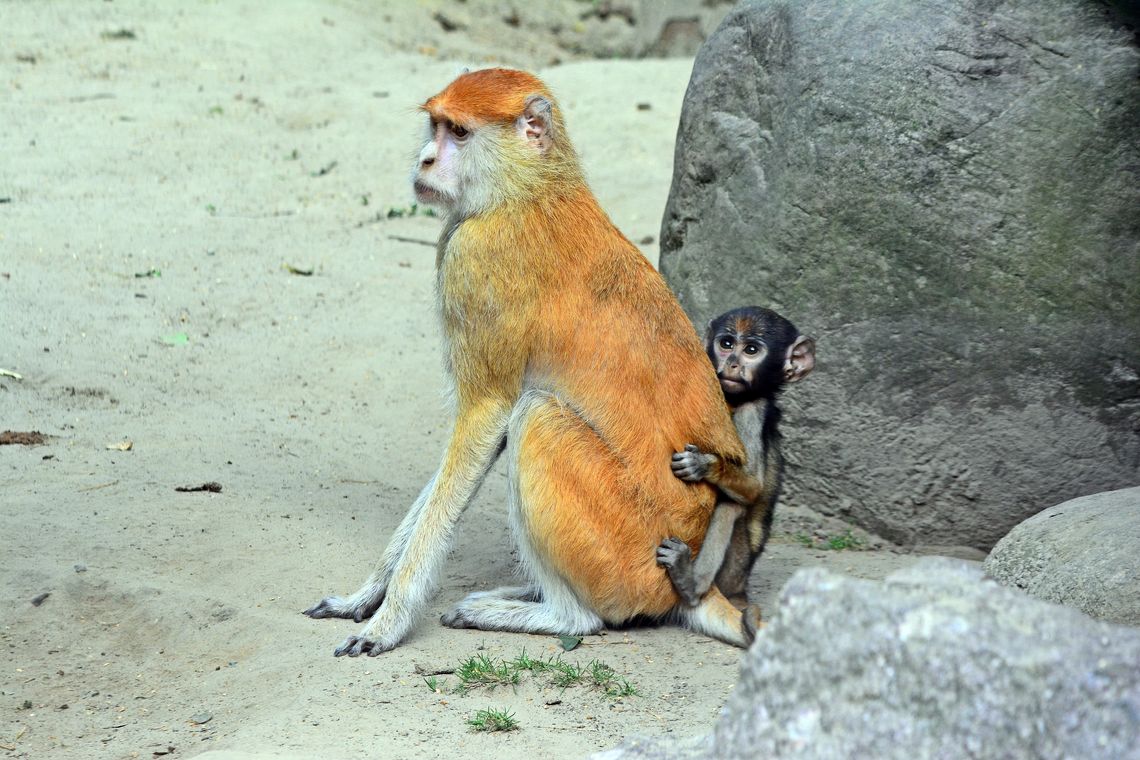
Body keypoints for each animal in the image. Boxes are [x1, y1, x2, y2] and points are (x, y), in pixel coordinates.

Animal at [303, 68, 752, 656]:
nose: (425, 160)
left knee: (537, 418)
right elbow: (480, 442)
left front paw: (388, 622)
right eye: (434, 125)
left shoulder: (475, 261)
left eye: (460, 133)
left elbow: (488, 414)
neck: (527, 188)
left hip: (626, 553)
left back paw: (554, 614)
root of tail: (691, 579)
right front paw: (364, 596)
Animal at [656, 303, 816, 628]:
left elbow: (752, 488)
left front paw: (702, 465)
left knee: (731, 505)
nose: (731, 364)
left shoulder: (753, 411)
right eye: (726, 343)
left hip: (732, 568)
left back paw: (691, 583)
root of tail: (741, 588)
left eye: (751, 350)